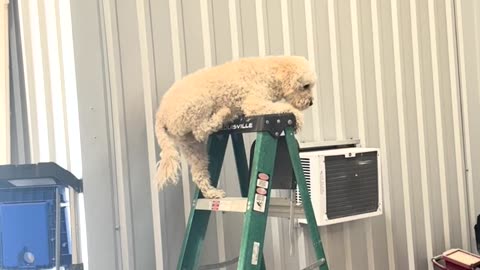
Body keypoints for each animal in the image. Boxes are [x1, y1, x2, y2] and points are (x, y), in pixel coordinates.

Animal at [156, 55, 316, 198]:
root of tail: (161, 113)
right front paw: (298, 119)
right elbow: (283, 108)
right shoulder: (254, 104)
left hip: (190, 145)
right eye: (305, 86)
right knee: (200, 130)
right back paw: (224, 114)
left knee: (198, 173)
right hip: (199, 103)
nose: (311, 103)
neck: (269, 72)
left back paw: (212, 193)